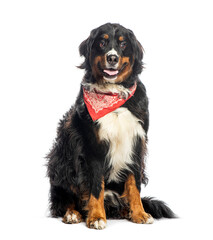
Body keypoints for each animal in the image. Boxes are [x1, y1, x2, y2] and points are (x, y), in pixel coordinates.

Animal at [46, 23, 175, 231]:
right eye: (102, 42)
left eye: (123, 44)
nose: (112, 57)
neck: (113, 96)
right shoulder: (93, 147)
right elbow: (96, 186)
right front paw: (97, 217)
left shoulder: (136, 143)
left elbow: (134, 185)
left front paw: (139, 213)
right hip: (60, 160)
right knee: (65, 198)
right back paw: (73, 213)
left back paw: (124, 210)